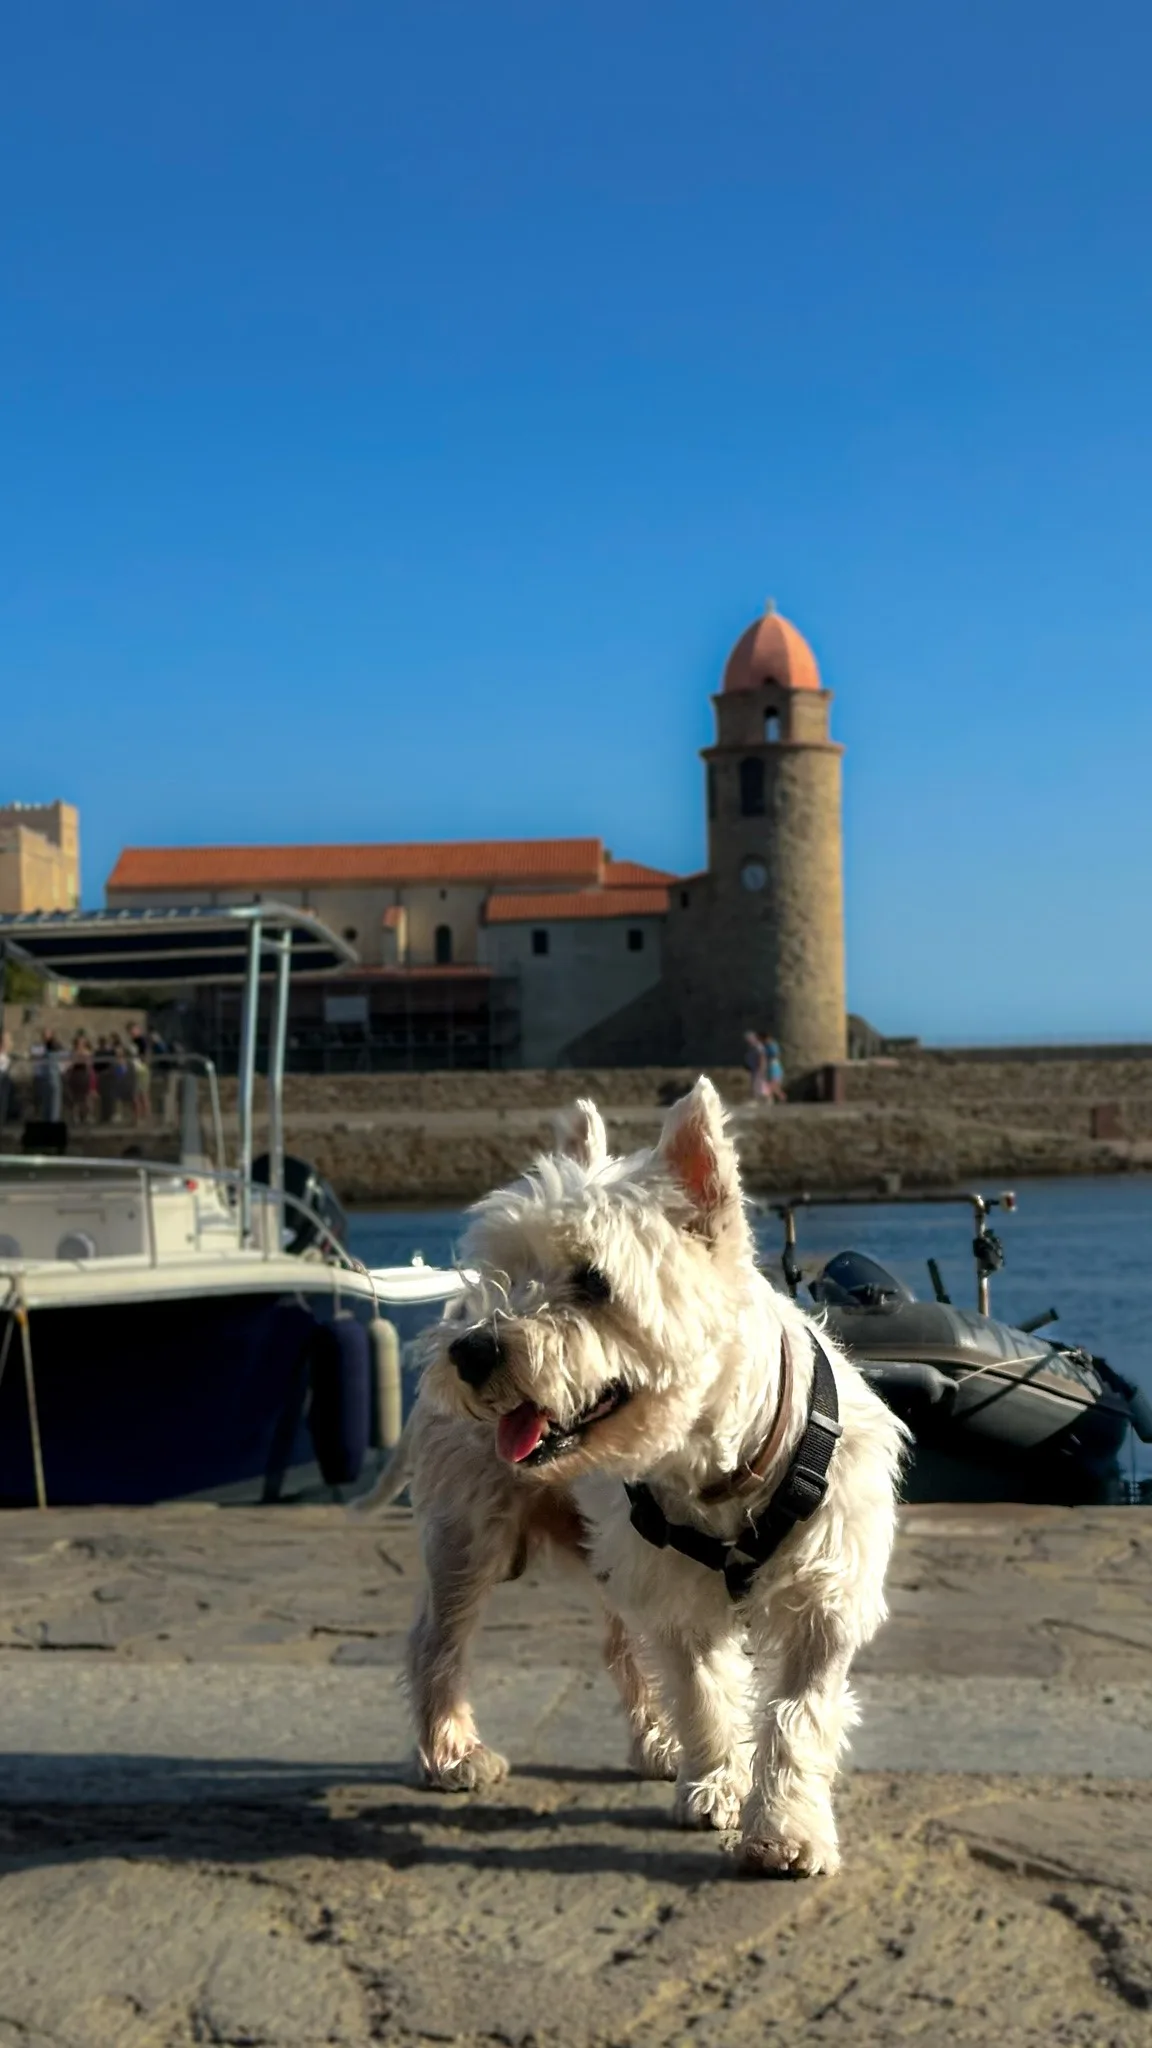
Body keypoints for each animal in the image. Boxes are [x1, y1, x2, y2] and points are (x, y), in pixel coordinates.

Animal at [373, 1081, 901, 1875]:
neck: (716, 1466)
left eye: (595, 1280)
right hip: (471, 1531)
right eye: (508, 1268)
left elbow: (797, 1714)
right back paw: (453, 1754)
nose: (471, 1352)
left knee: (621, 1646)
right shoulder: (674, 1594)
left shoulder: (825, 1596)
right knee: (439, 1637)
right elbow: (705, 1690)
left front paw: (784, 1829)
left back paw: (655, 1743)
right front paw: (715, 1784)